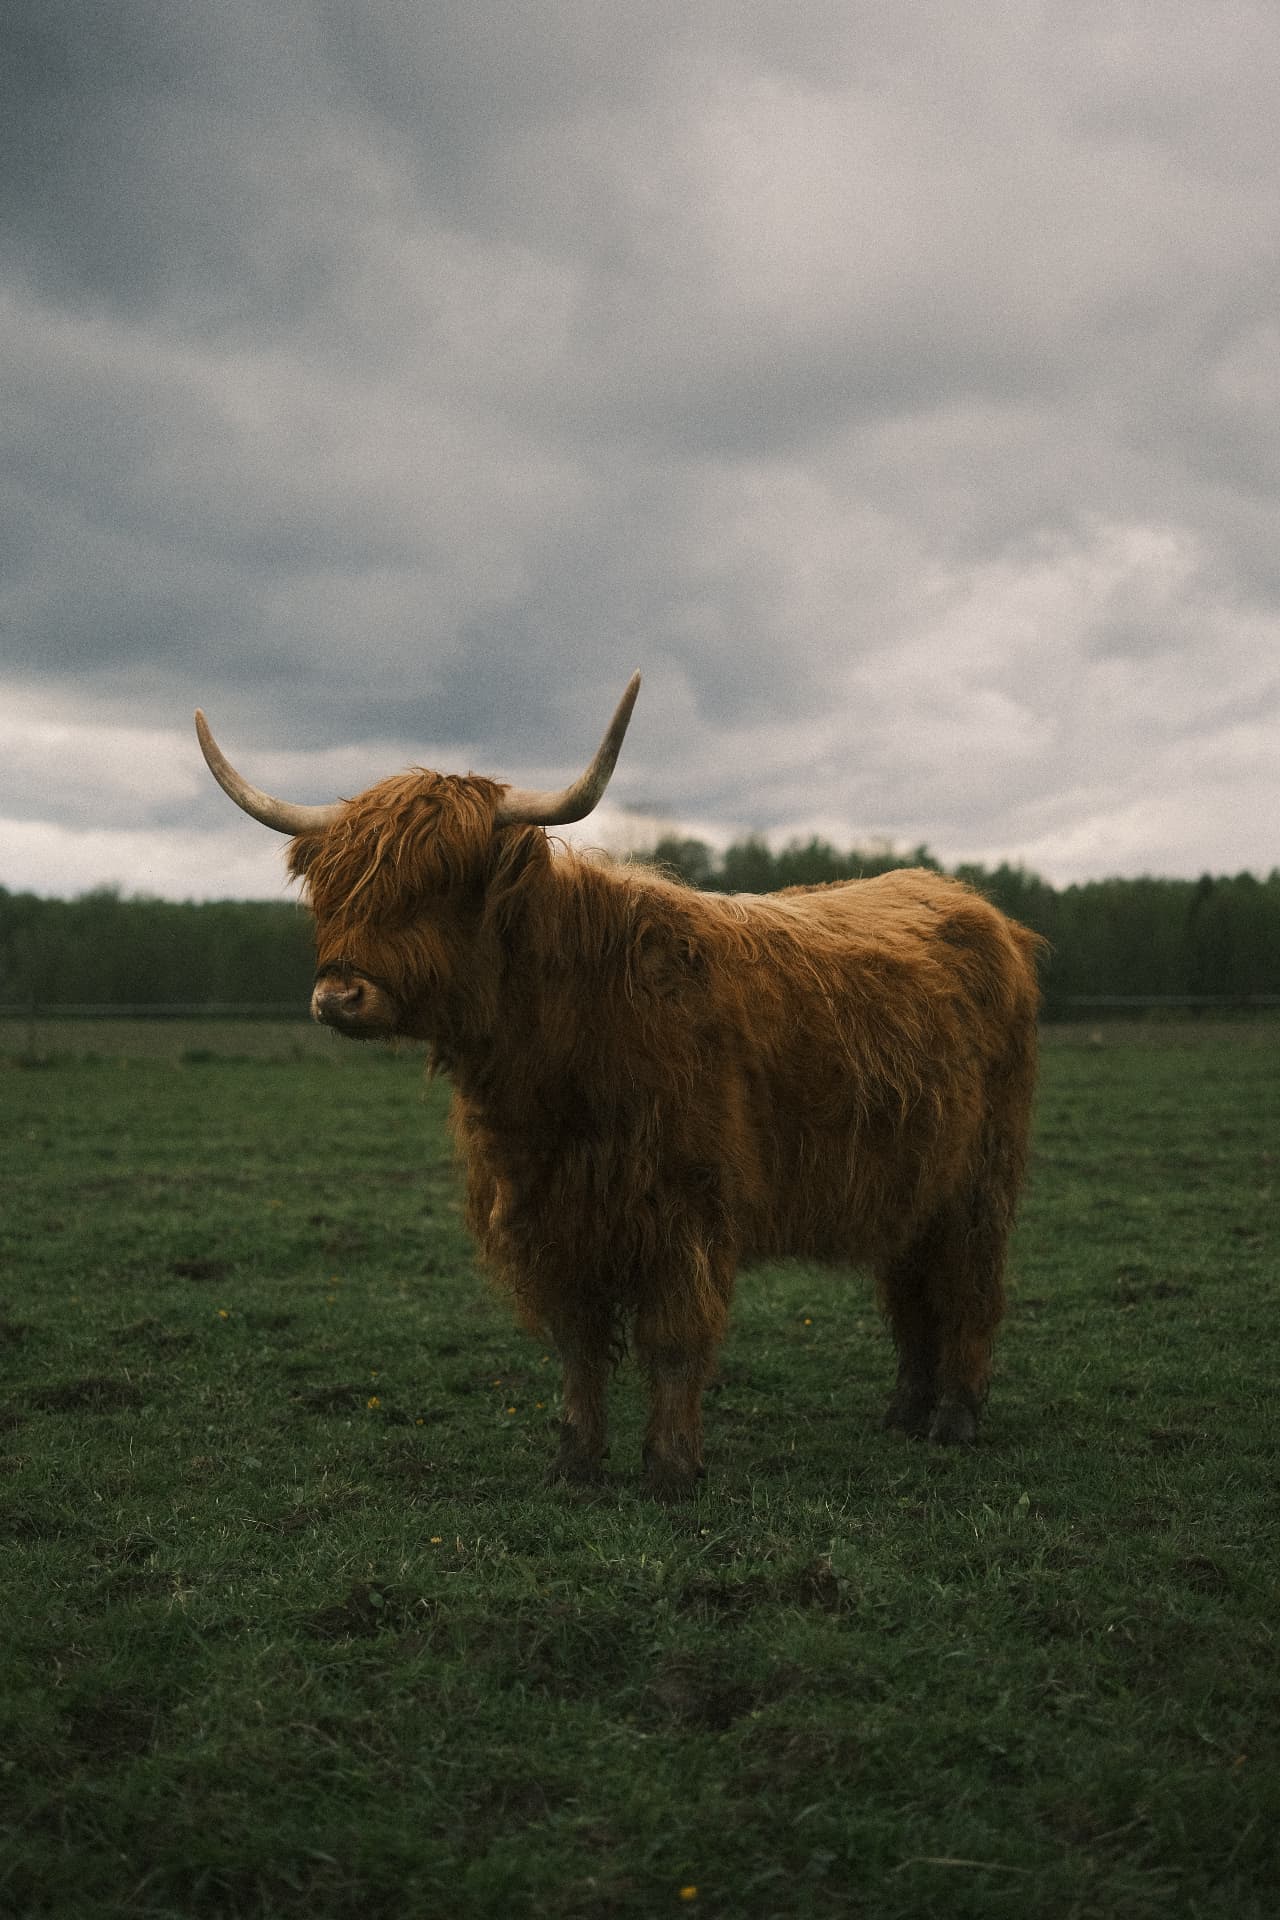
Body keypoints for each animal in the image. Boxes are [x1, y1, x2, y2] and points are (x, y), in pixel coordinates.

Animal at [196, 674, 1042, 1495]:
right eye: (333, 886)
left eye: (441, 880)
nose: (340, 995)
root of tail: (977, 908)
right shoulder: (552, 1217)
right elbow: (577, 1345)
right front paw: (575, 1464)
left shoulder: (686, 1212)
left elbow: (672, 1342)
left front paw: (670, 1469)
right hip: (914, 1182)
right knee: (912, 1289)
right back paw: (905, 1410)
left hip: (979, 1181)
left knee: (968, 1289)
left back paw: (954, 1418)